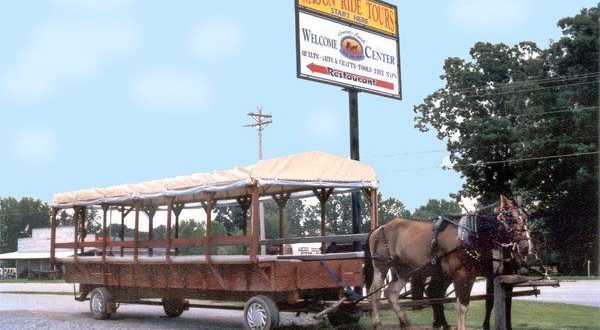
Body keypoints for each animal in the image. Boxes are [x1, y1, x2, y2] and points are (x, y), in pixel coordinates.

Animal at [364, 196, 528, 330]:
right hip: (382, 266)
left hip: (404, 270)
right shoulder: (460, 275)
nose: (526, 246)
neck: (468, 235)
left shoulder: (471, 276)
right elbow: (461, 307)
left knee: (391, 293)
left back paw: (405, 321)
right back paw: (377, 322)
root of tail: (379, 228)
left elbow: (465, 305)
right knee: (375, 291)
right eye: (512, 219)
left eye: (526, 218)